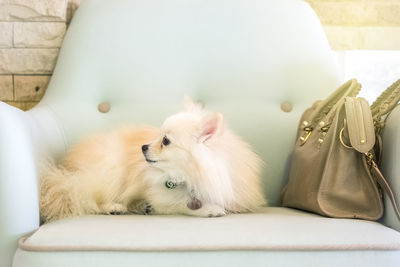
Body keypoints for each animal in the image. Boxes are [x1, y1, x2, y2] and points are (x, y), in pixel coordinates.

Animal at [39, 97, 266, 223]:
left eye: (165, 141)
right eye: (158, 135)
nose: (143, 147)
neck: (190, 175)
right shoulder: (161, 198)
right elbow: (179, 204)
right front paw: (209, 209)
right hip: (109, 171)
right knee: (85, 197)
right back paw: (113, 207)